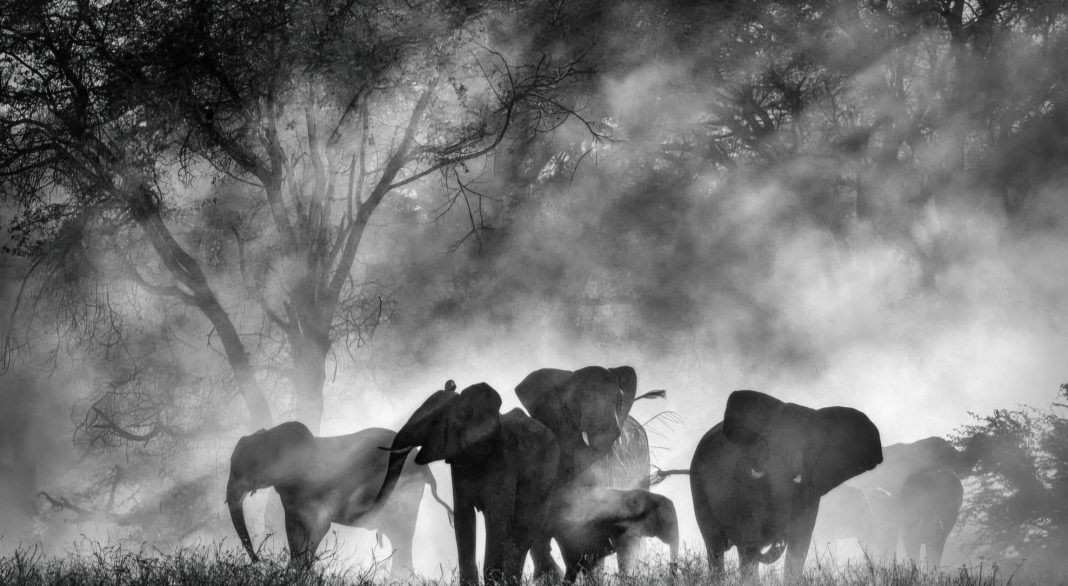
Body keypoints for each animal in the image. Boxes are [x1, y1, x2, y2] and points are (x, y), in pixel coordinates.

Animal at [226, 421, 452, 573]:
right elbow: (293, 530)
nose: (259, 561)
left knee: (402, 535)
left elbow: (319, 527)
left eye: (248, 467)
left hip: (404, 491)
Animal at [374, 381, 559, 586]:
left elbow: (497, 518)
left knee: (523, 530)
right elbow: (463, 517)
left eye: (435, 422)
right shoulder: (459, 461)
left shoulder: (504, 461)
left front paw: (494, 580)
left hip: (546, 477)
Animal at [690, 390, 883, 582]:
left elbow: (800, 543)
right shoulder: (742, 483)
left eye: (810, 447)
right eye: (769, 444)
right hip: (699, 489)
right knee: (716, 548)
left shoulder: (810, 491)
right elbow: (748, 540)